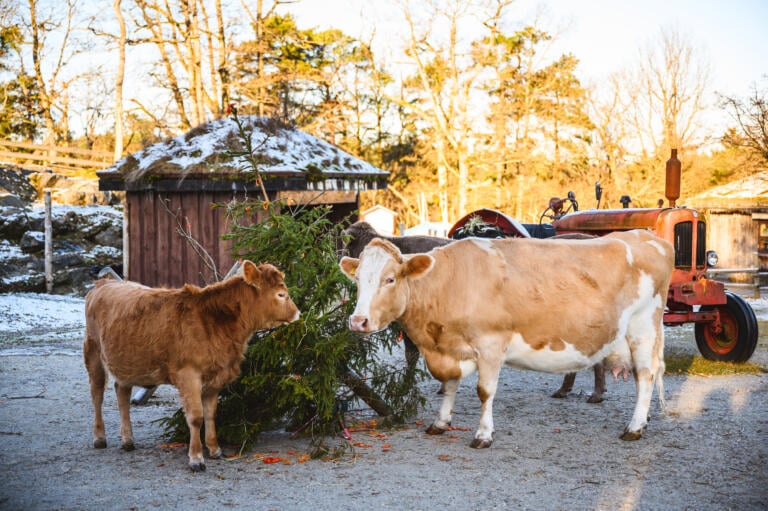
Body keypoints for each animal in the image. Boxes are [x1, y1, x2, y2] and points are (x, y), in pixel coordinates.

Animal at [83, 262, 300, 474]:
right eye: (281, 294)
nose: (298, 313)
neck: (213, 322)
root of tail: (103, 284)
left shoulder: (215, 376)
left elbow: (210, 414)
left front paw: (215, 449)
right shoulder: (188, 374)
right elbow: (196, 417)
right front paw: (196, 458)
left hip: (125, 362)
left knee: (122, 393)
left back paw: (128, 440)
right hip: (93, 352)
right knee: (97, 395)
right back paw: (99, 438)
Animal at [340, 230, 672, 446]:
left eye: (390, 279)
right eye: (357, 280)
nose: (358, 321)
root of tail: (650, 237)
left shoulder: (490, 344)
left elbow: (485, 392)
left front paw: (483, 434)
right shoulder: (449, 348)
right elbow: (449, 385)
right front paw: (441, 422)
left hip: (643, 327)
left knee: (646, 374)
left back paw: (634, 427)